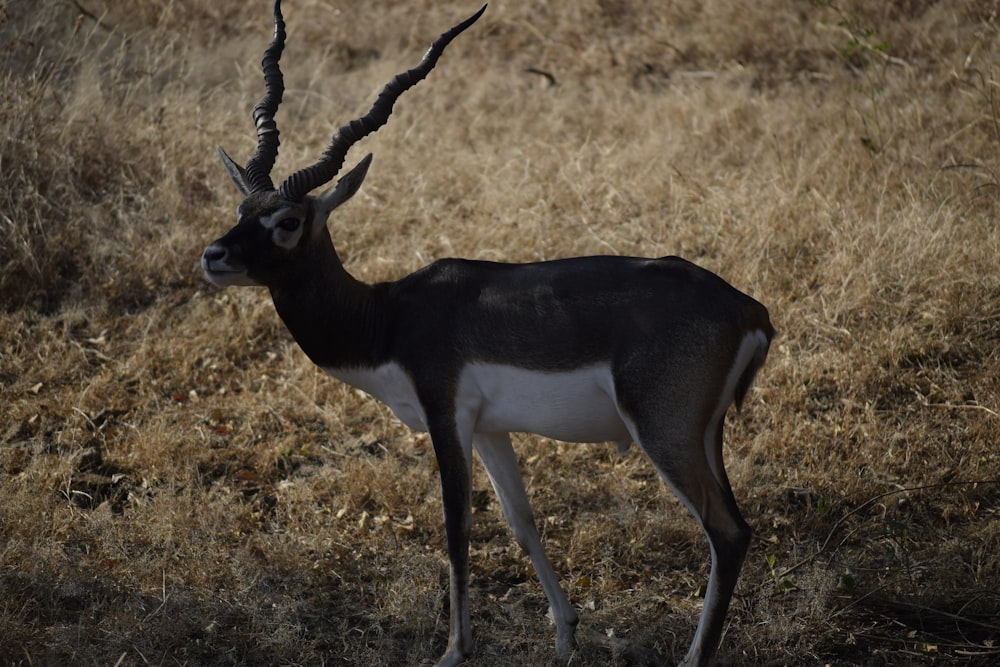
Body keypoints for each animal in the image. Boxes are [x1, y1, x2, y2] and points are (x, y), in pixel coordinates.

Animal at [201, 2, 772, 664]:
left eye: (289, 221)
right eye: (242, 211)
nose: (213, 256)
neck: (387, 316)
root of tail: (748, 310)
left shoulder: (445, 413)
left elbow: (457, 526)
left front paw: (454, 649)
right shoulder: (492, 428)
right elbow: (521, 521)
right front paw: (565, 635)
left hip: (664, 432)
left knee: (727, 533)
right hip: (704, 435)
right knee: (733, 525)